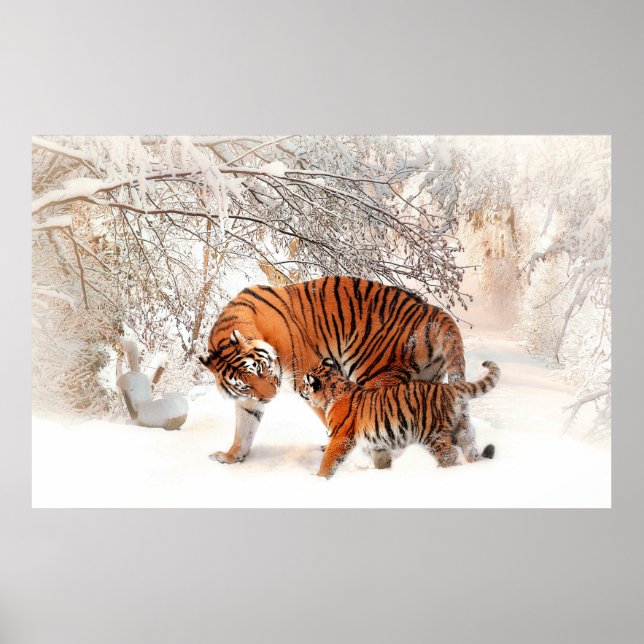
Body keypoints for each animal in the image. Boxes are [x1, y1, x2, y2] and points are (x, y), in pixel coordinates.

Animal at [199, 276, 476, 468]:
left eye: (260, 369)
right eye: (245, 384)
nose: (271, 397)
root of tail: (432, 311)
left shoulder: (308, 373)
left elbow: (334, 416)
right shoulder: (249, 399)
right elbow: (244, 427)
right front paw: (231, 456)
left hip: (377, 375)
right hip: (427, 381)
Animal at [299, 358, 499, 478]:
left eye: (304, 383)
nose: (299, 389)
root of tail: (448, 388)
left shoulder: (340, 437)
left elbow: (328, 460)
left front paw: (318, 479)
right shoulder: (377, 442)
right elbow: (381, 459)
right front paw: (384, 472)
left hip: (431, 433)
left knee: (449, 454)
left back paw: (439, 471)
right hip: (461, 428)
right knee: (469, 447)